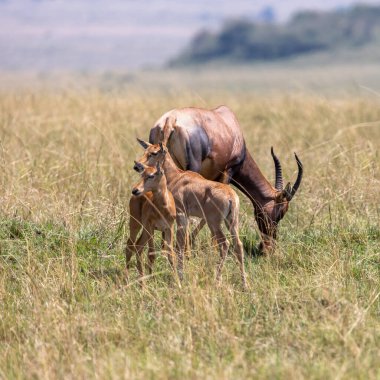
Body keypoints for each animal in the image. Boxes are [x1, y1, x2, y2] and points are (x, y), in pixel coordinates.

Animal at [135, 139, 248, 288]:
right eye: (146, 150)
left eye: (154, 153)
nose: (137, 166)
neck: (178, 176)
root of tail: (231, 197)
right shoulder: (186, 217)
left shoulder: (181, 215)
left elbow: (180, 244)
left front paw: (180, 275)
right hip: (232, 223)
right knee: (238, 245)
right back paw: (244, 284)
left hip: (214, 224)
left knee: (225, 244)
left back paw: (217, 280)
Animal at [147, 108, 304, 254]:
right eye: (280, 213)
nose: (267, 248)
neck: (229, 123)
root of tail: (170, 121)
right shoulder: (228, 172)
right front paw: (212, 245)